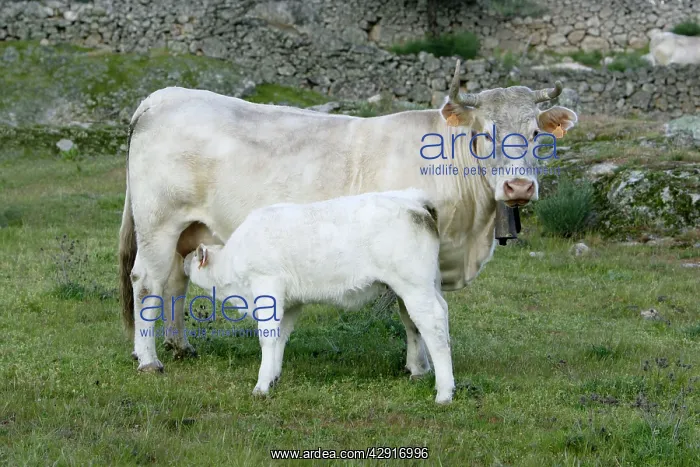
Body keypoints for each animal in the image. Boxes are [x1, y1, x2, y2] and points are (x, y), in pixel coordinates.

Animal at [119, 60, 578, 377]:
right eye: (485, 134)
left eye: (537, 135)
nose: (518, 187)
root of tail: (163, 97)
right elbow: (412, 315)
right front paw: (418, 368)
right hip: (157, 223)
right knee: (147, 283)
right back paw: (149, 359)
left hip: (189, 228)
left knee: (176, 281)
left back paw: (180, 346)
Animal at [182, 189, 453, 403]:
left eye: (195, 256)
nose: (183, 259)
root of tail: (414, 200)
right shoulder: (290, 302)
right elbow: (281, 337)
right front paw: (273, 377)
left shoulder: (267, 286)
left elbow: (268, 337)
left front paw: (260, 387)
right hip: (426, 285)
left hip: (413, 285)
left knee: (432, 324)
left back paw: (444, 392)